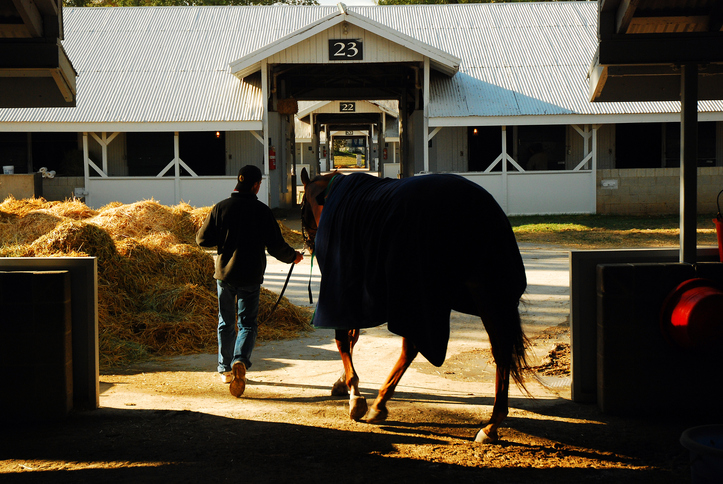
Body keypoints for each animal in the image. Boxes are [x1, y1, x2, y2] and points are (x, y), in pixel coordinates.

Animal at [300, 168, 532, 444]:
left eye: (302, 205)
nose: (309, 243)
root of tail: (481, 207)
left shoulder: (341, 289)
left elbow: (343, 339)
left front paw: (355, 395)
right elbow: (352, 336)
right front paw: (342, 383)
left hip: (421, 298)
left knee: (412, 346)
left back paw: (380, 404)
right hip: (489, 295)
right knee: (501, 351)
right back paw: (492, 423)